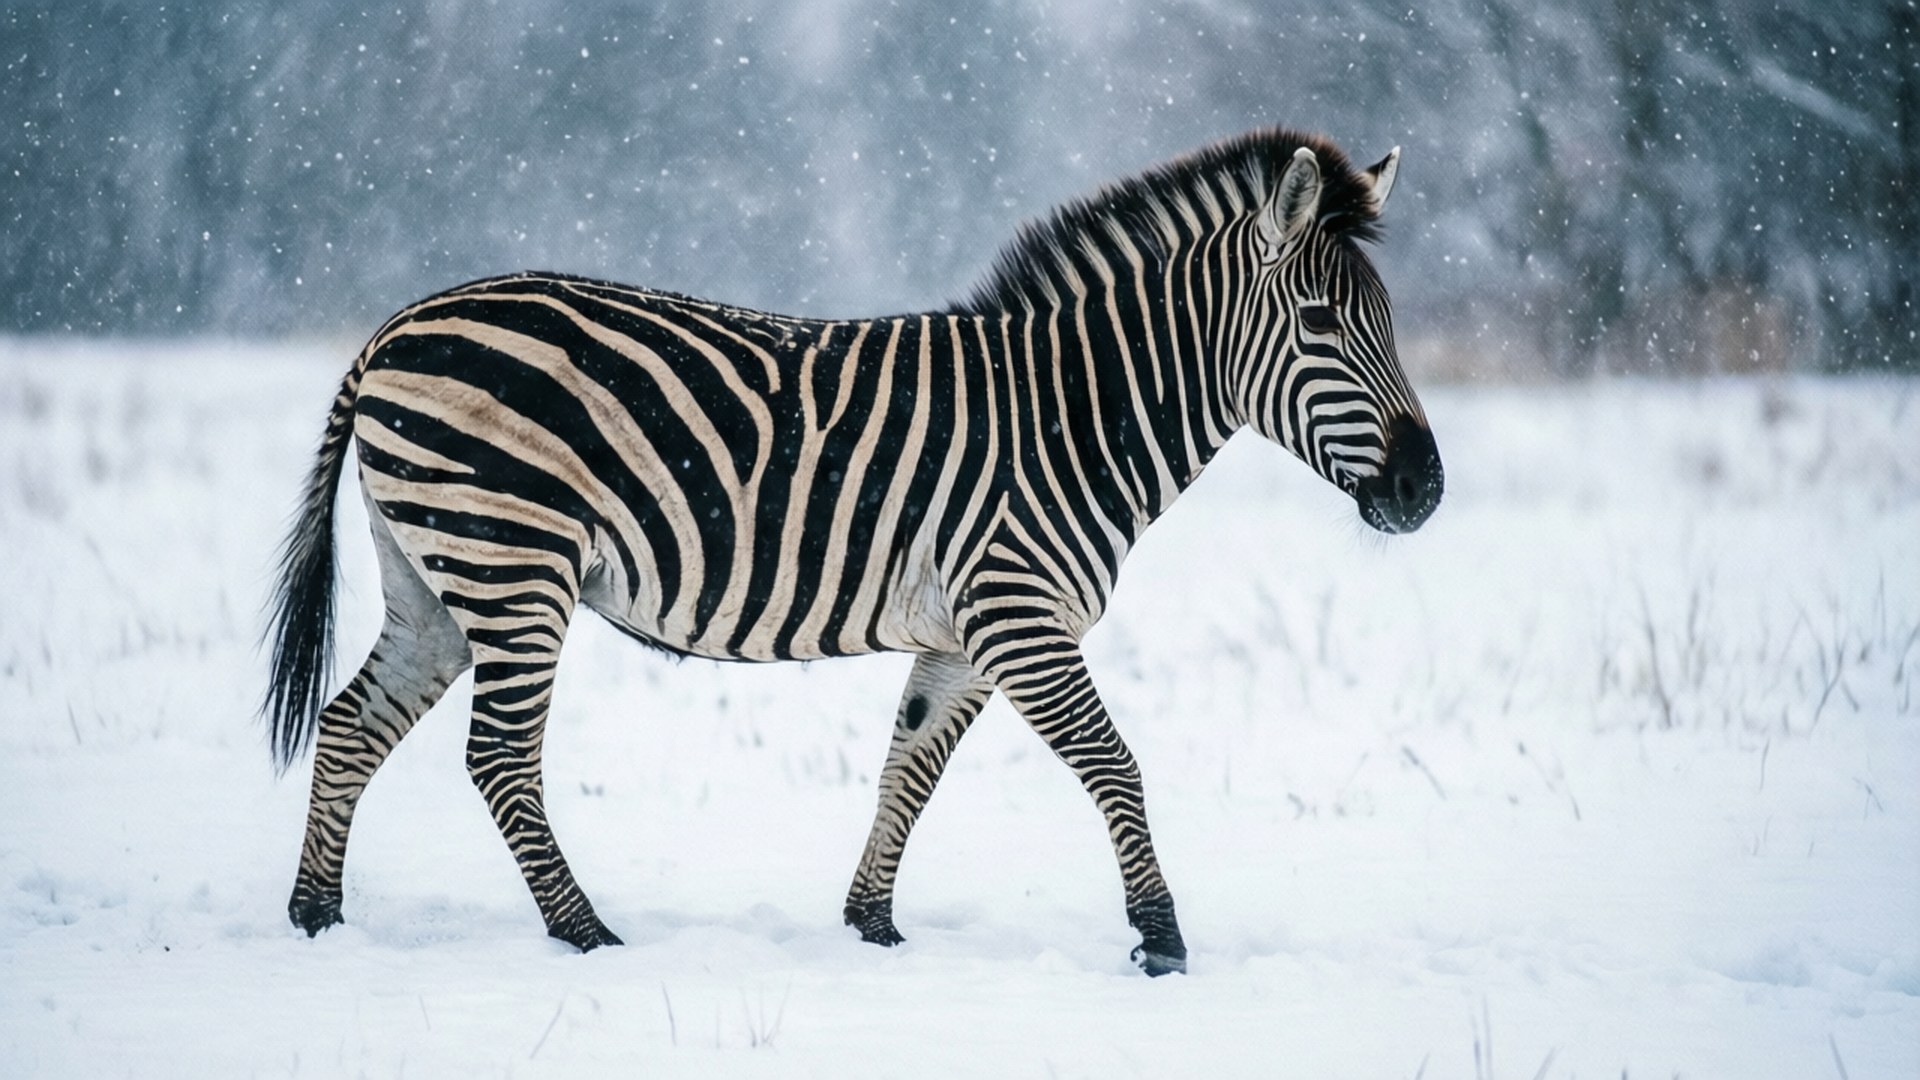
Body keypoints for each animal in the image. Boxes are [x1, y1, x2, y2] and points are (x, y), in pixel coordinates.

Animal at [264, 127, 1443, 976]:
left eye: (1388, 320)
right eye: (1322, 323)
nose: (1425, 491)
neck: (1073, 415)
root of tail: (397, 325)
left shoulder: (967, 635)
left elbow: (906, 768)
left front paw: (870, 926)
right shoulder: (1019, 615)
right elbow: (1114, 763)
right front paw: (1161, 942)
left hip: (435, 578)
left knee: (352, 724)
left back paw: (317, 920)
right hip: (512, 560)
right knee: (499, 757)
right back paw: (585, 936)